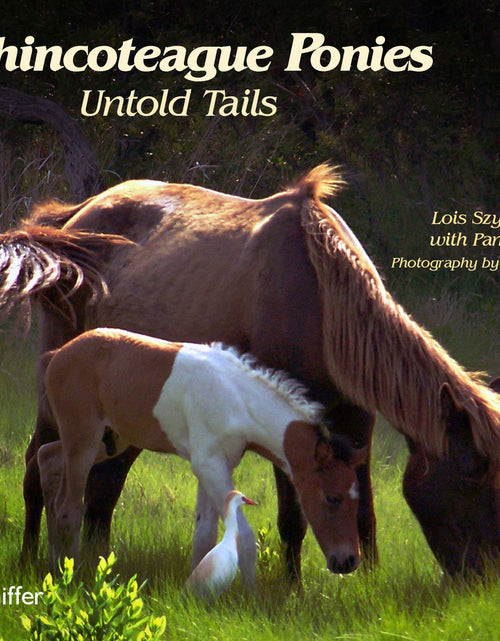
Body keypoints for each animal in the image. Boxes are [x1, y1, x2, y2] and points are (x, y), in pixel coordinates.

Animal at [36, 327, 366, 581]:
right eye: (332, 498)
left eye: (356, 498)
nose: (349, 561)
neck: (236, 398)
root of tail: (58, 354)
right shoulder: (210, 466)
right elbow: (243, 536)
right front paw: (252, 600)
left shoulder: (212, 467)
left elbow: (204, 534)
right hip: (84, 440)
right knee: (68, 508)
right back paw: (72, 575)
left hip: (109, 442)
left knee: (47, 459)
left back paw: (53, 565)